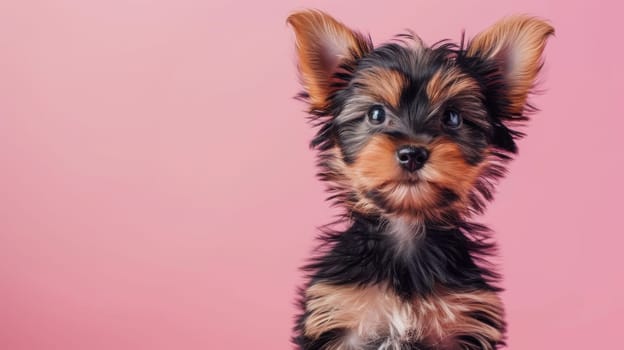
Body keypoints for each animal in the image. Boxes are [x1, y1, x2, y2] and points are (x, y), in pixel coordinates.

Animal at [286, 9, 552, 348]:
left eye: (452, 117)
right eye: (376, 114)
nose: (412, 153)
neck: (407, 227)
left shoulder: (463, 322)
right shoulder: (341, 313)